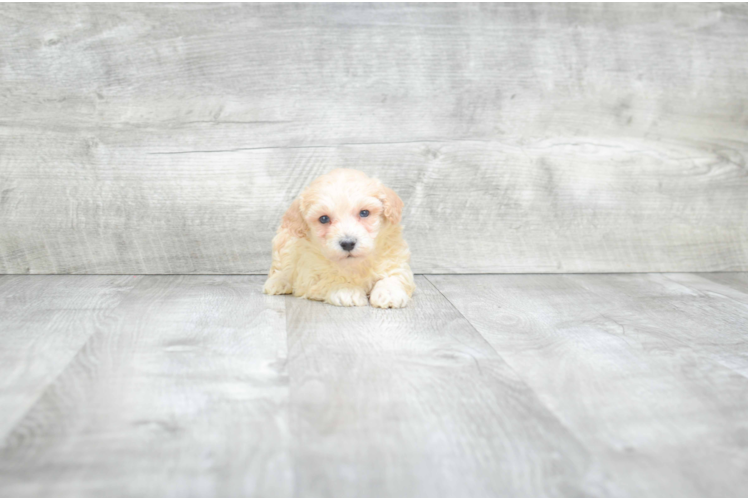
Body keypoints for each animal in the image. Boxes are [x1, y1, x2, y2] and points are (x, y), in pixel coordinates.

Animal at [262, 170, 414, 306]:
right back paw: (277, 282)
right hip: (282, 245)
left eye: (364, 213)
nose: (348, 243)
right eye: (323, 218)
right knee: (281, 269)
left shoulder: (395, 260)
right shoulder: (311, 274)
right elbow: (330, 279)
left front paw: (389, 293)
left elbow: (394, 275)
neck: (355, 265)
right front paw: (347, 290)